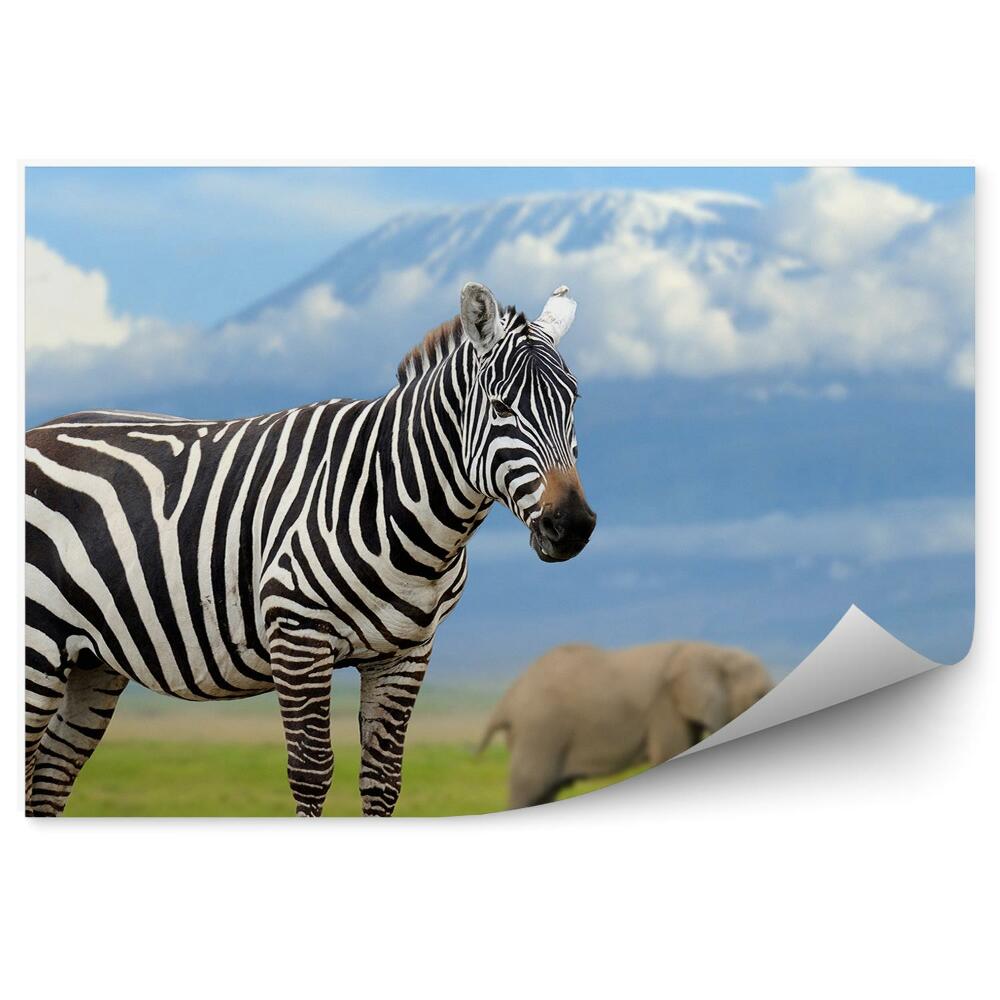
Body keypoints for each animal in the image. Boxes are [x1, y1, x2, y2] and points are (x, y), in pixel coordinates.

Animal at [25, 281, 596, 817]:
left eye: (573, 402)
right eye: (501, 406)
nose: (572, 526)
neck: (389, 497)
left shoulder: (406, 653)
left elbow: (383, 779)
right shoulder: (298, 636)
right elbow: (312, 770)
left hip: (92, 659)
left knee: (50, 775)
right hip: (38, 647)